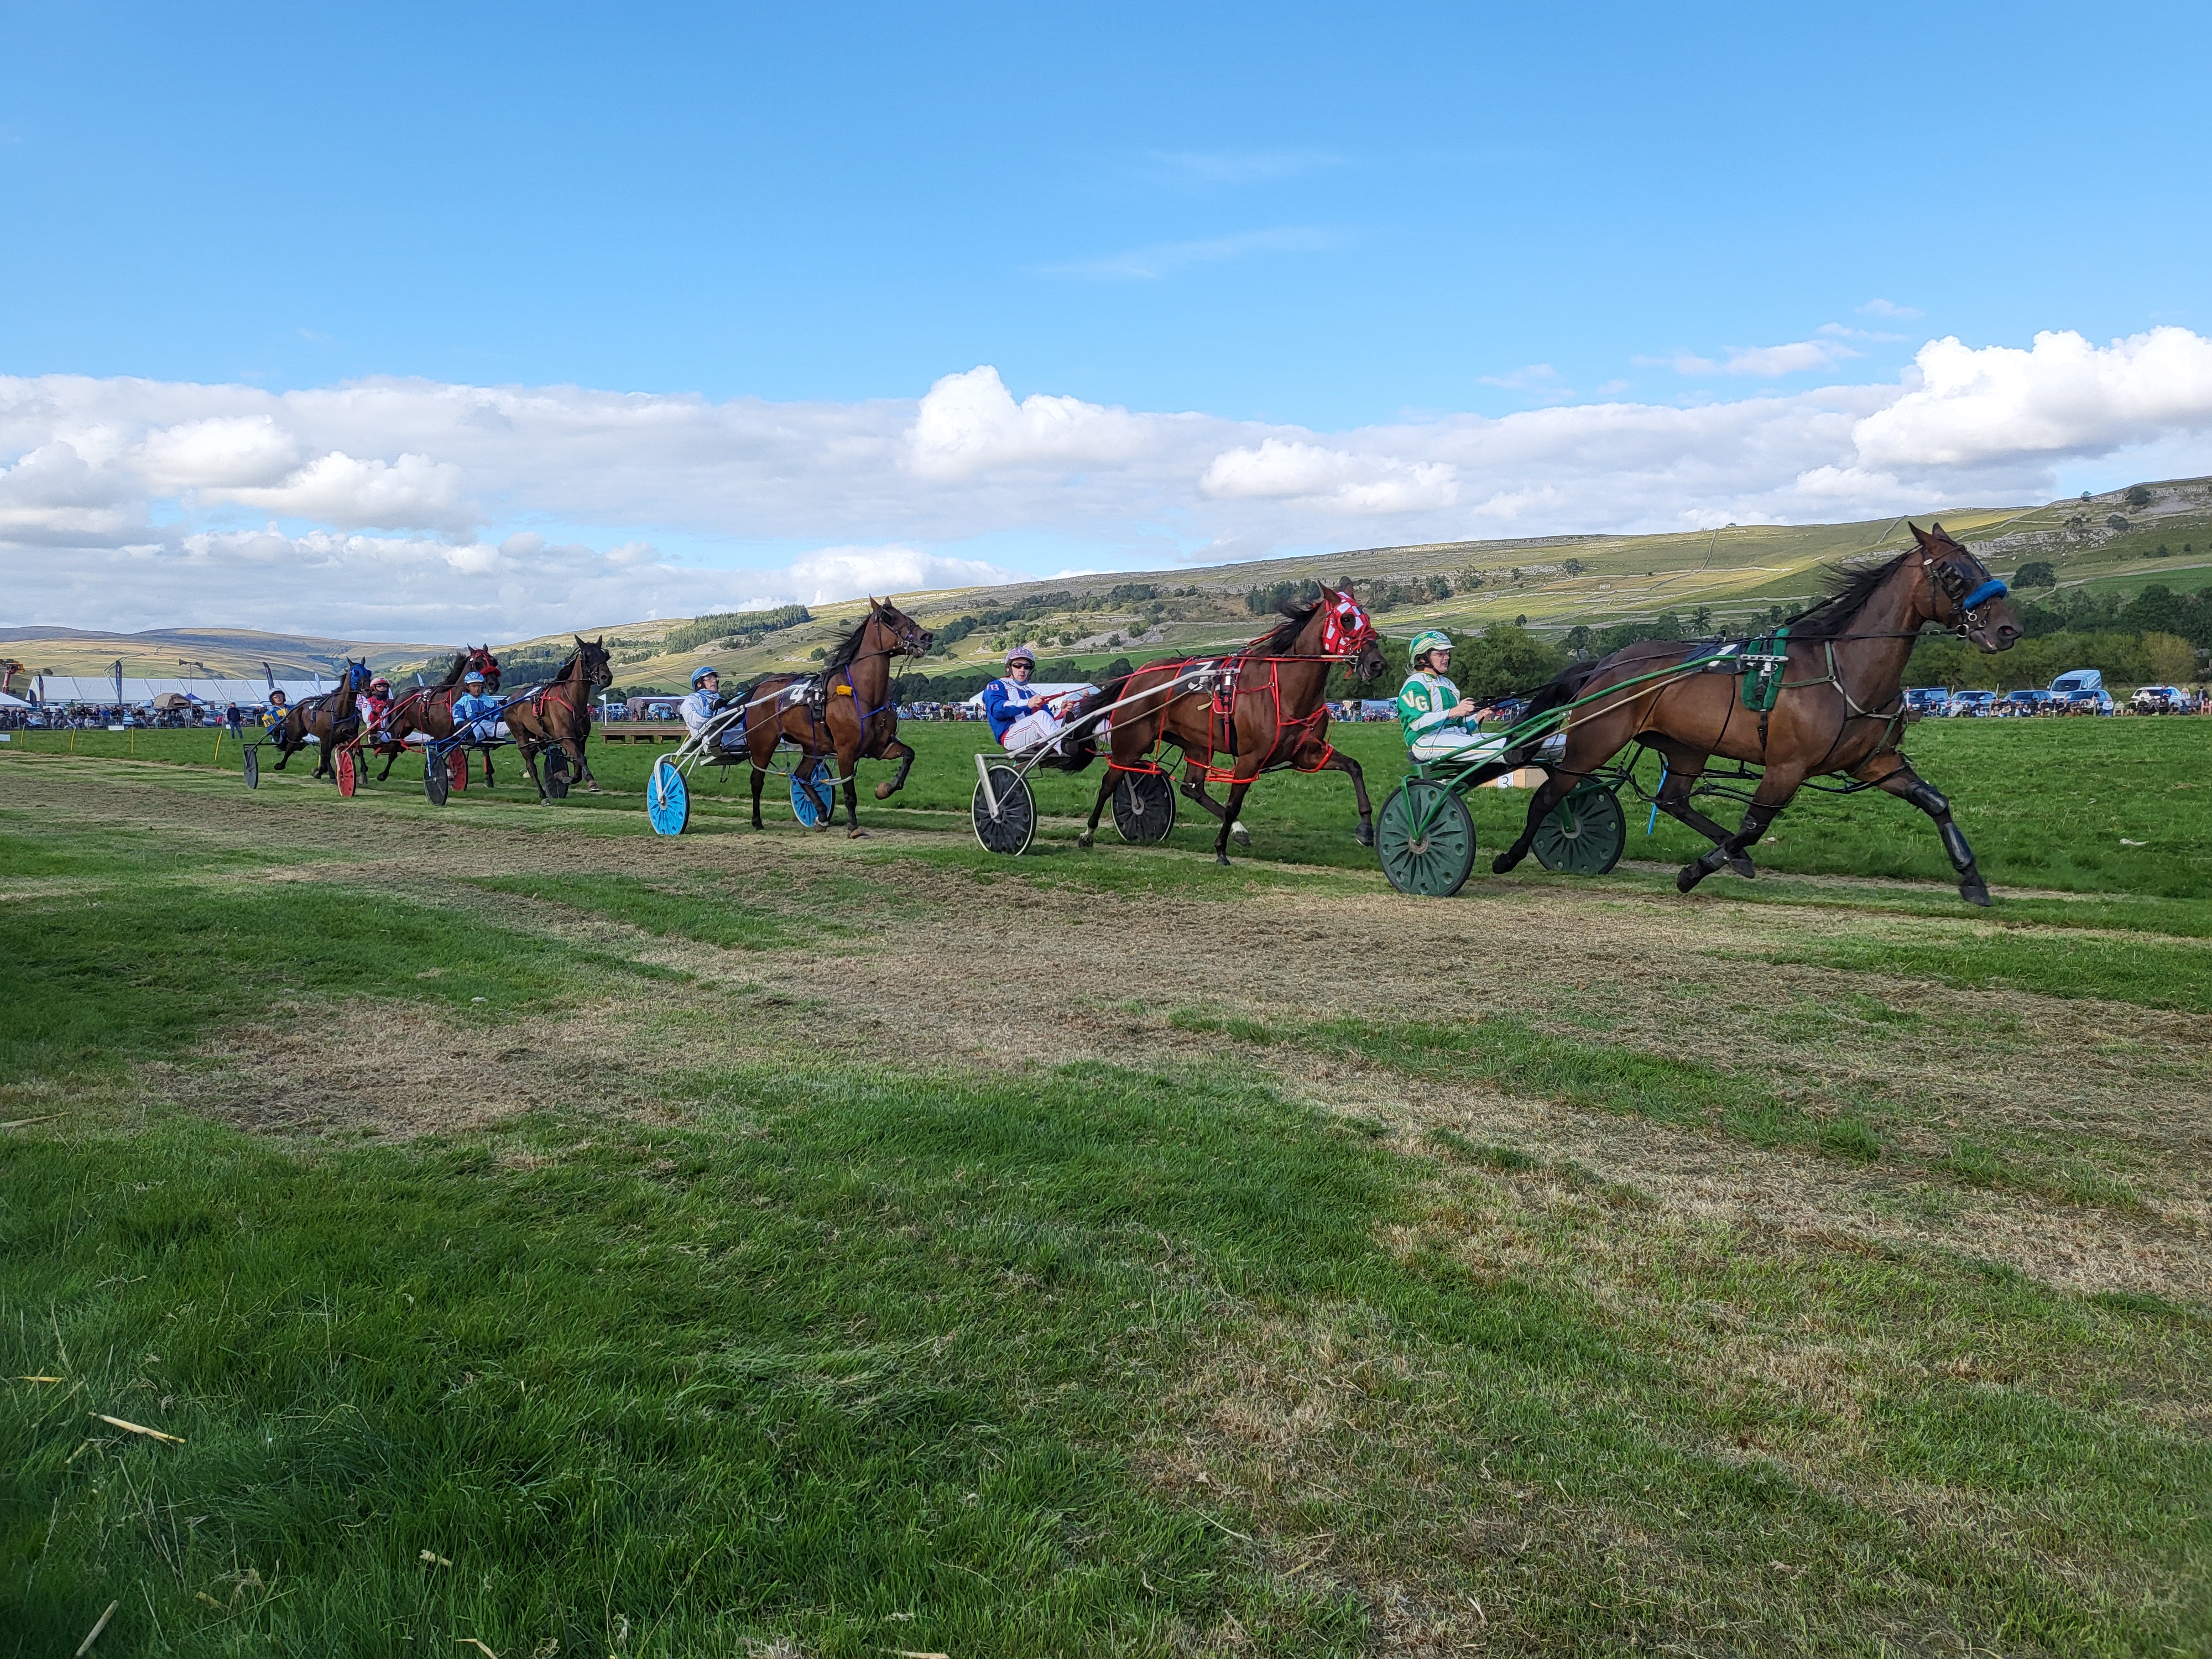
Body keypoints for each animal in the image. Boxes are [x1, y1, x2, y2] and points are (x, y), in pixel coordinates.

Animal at [270, 659, 374, 783]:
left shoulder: (351, 735)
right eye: (356, 673)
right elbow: (325, 759)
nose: (368, 691)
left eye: (368, 672)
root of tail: (299, 704)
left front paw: (363, 774)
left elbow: (359, 751)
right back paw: (281, 765)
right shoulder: (326, 738)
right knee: (291, 747)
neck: (341, 712)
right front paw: (319, 772)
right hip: (297, 732)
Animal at [378, 646, 504, 783]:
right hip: (399, 729)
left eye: (494, 662)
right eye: (478, 663)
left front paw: (489, 775)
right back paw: (383, 774)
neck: (452, 702)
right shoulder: (441, 737)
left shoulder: (462, 733)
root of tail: (401, 696)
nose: (494, 684)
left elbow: (482, 746)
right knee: (393, 751)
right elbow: (439, 754)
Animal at [500, 641, 606, 801]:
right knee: (531, 766)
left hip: (541, 738)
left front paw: (562, 777)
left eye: (604, 655)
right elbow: (581, 759)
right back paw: (543, 796)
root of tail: (510, 699)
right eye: (588, 655)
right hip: (522, 738)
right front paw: (591, 782)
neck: (571, 700)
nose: (607, 677)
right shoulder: (566, 738)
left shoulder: (581, 740)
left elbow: (577, 767)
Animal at [734, 597, 925, 836]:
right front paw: (853, 827)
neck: (863, 694)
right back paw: (757, 821)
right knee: (757, 780)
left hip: (813, 747)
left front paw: (886, 789)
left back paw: (822, 815)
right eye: (888, 617)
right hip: (764, 743)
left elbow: (909, 755)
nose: (926, 637)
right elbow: (850, 793)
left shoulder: (881, 746)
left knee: (802, 776)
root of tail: (760, 687)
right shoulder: (846, 751)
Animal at [1486, 522, 2026, 902]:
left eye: (1979, 563)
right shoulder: (1787, 767)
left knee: (1674, 800)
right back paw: (1510, 857)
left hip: (1686, 747)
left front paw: (1973, 880)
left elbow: (1936, 802)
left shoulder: (1876, 762)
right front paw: (1695, 871)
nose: (2007, 630)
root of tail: (1609, 661)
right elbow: (1755, 824)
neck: (1843, 672)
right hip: (1595, 741)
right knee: (1550, 796)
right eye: (1954, 573)